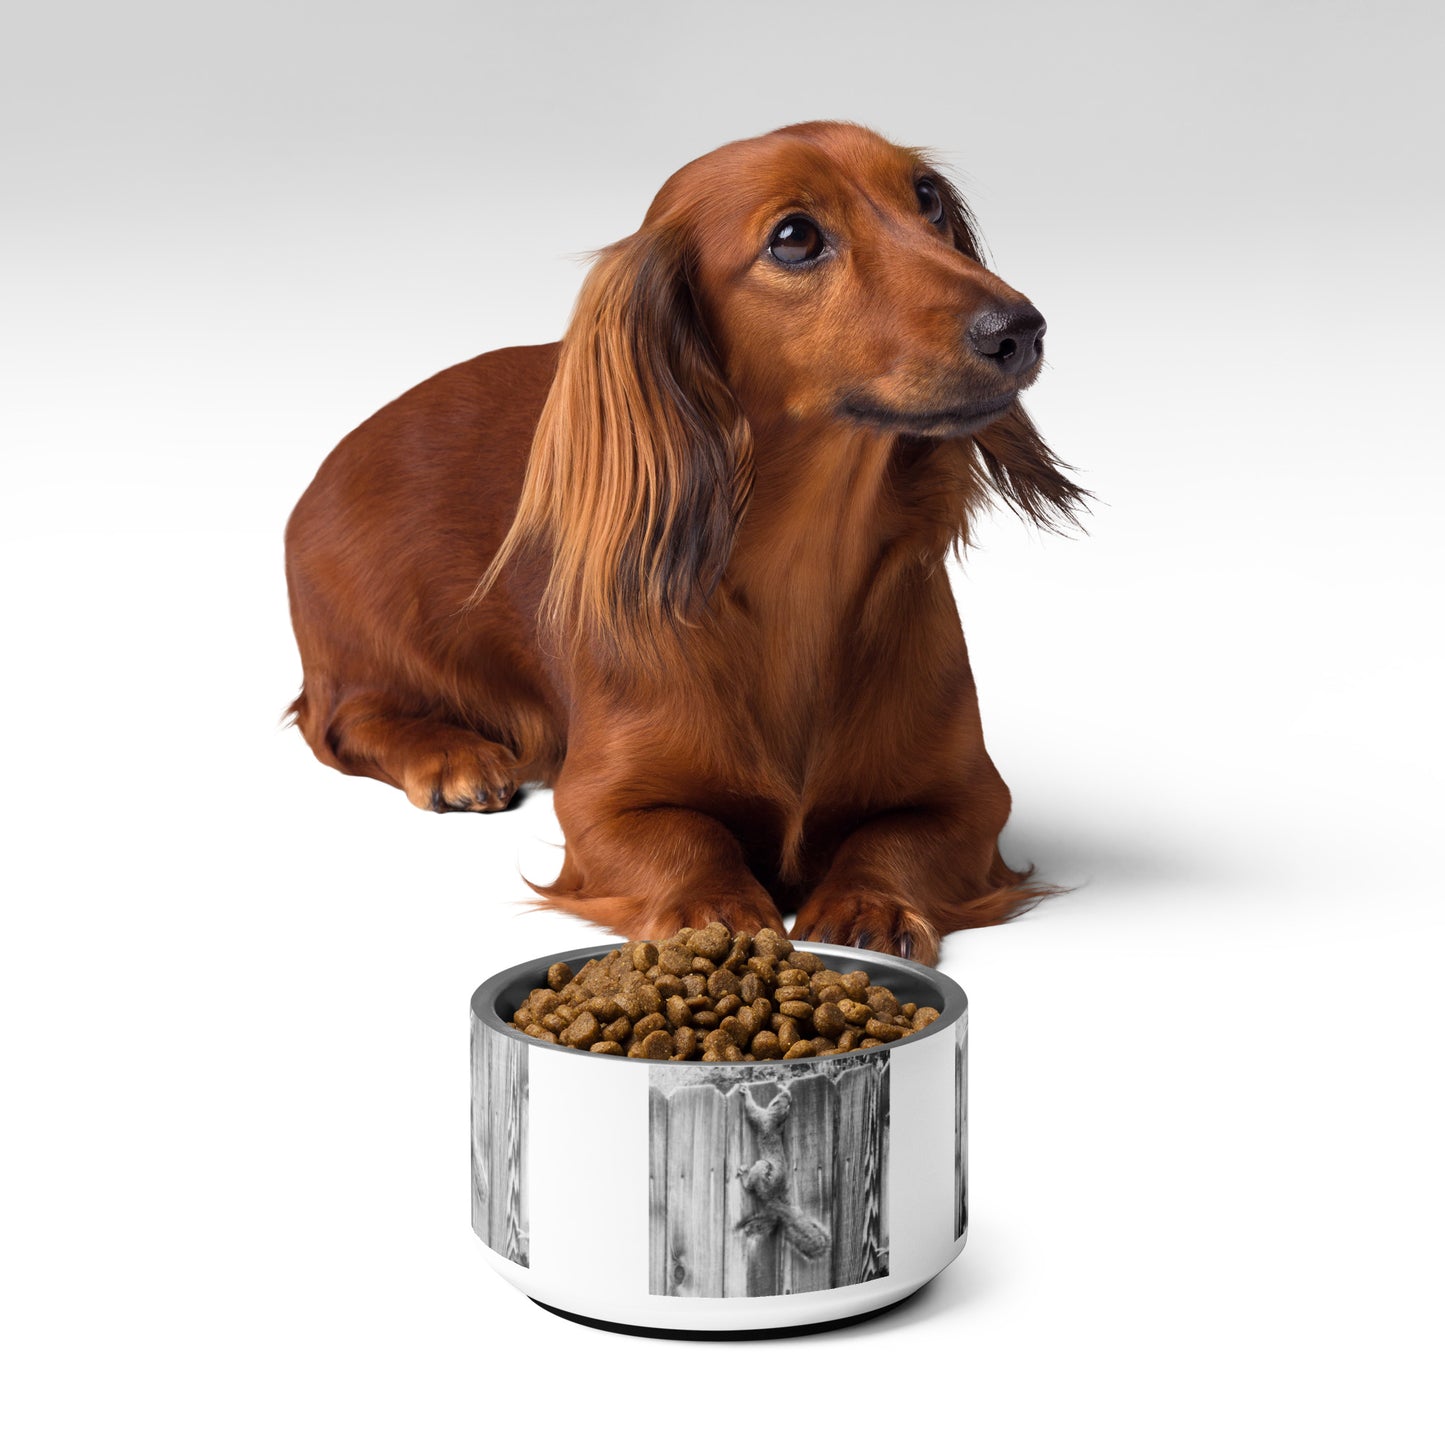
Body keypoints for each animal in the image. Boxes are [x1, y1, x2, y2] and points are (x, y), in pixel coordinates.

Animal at [736, 1085, 830, 1260]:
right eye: (784, 1099)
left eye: (778, 1100)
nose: (784, 1093)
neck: (776, 1120)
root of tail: (775, 1197)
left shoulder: (762, 1119)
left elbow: (752, 1111)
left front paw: (747, 1093)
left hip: (761, 1169)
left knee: (750, 1186)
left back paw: (744, 1176)